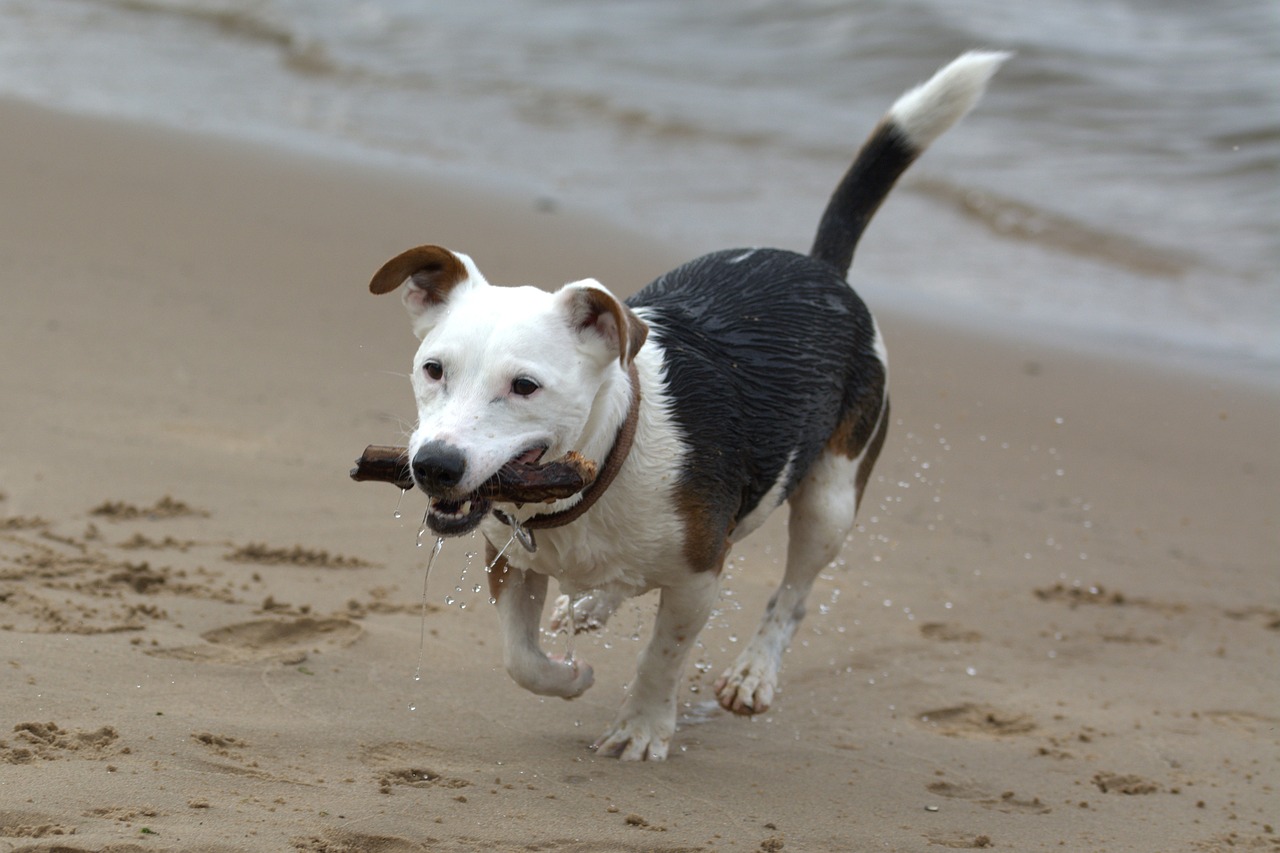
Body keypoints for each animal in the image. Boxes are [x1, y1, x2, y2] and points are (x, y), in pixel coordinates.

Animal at [371, 51, 1008, 758]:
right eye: (433, 370)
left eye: (525, 387)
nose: (434, 466)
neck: (605, 464)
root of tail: (824, 271)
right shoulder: (509, 555)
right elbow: (521, 659)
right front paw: (569, 676)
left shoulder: (699, 577)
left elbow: (663, 654)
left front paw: (642, 727)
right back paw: (590, 605)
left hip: (832, 498)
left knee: (793, 594)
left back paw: (754, 672)